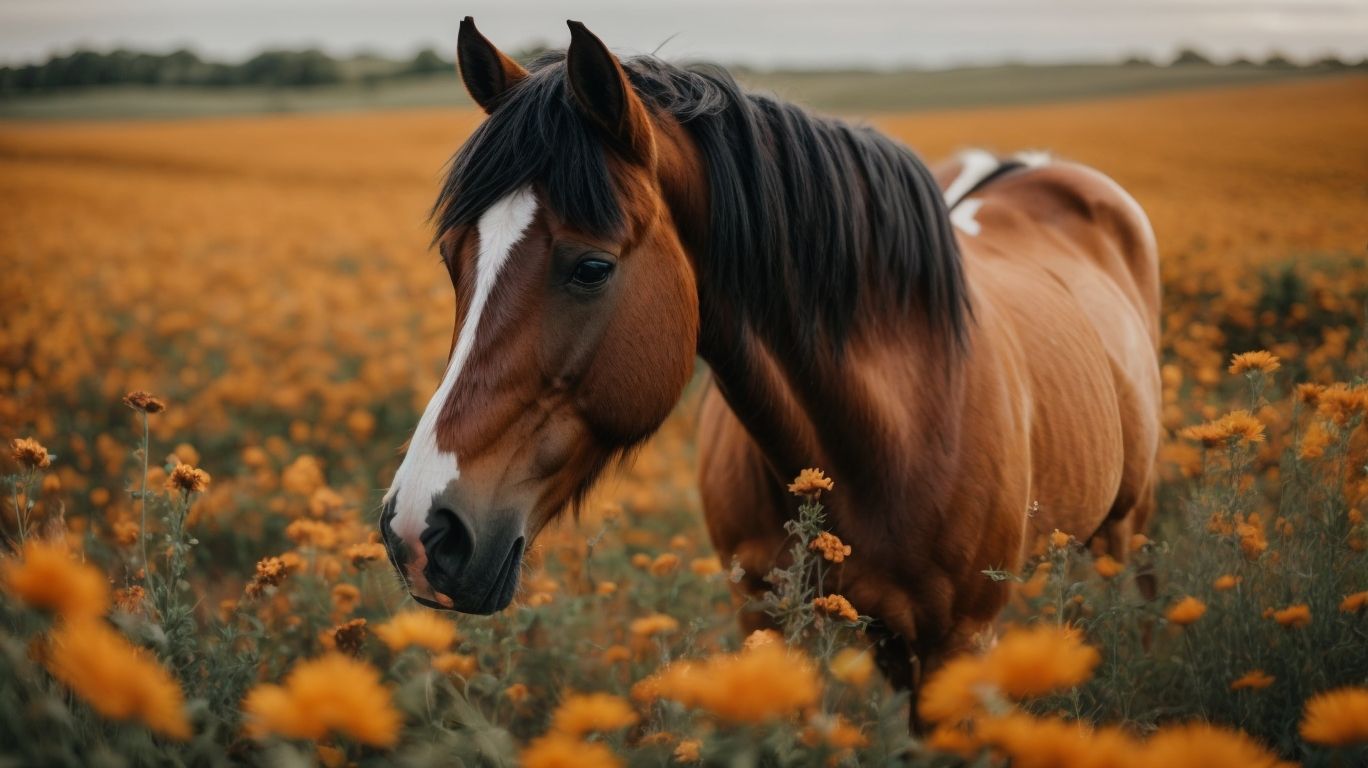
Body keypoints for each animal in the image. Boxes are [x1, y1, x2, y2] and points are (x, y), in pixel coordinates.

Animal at [379, 17, 1161, 719]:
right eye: (453, 257)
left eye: (592, 267)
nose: (419, 532)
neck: (894, 430)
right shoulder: (765, 622)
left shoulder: (958, 645)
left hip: (1126, 528)